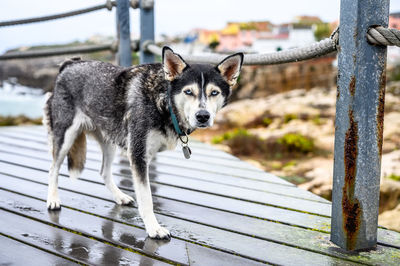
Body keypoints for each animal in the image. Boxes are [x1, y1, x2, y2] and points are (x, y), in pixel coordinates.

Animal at [43, 46, 244, 239]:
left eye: (214, 93)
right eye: (189, 92)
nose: (203, 116)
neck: (163, 101)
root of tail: (69, 63)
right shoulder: (138, 154)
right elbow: (147, 199)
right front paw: (154, 229)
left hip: (110, 140)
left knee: (104, 172)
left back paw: (120, 197)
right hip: (66, 136)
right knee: (53, 168)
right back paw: (52, 200)